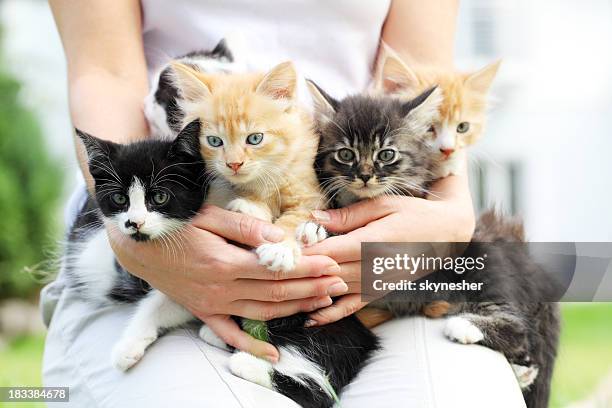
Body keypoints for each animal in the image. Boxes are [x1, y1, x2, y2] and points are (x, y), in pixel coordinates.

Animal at [308, 80, 560, 408]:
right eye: (346, 154)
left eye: (386, 154)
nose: (364, 175)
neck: (361, 200)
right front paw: (314, 226)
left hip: (483, 262)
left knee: (518, 327)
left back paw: (465, 326)